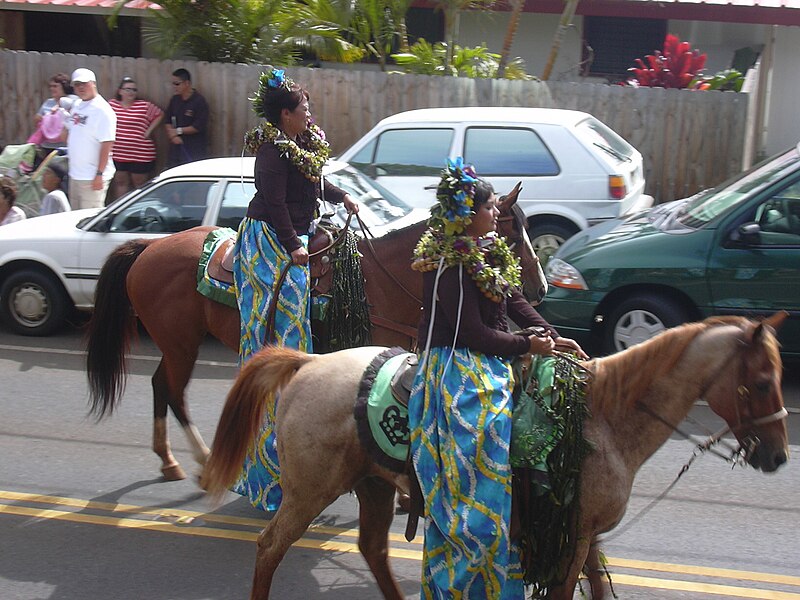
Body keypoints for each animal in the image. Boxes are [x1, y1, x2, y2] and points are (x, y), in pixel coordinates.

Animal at [86, 192, 544, 482]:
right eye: (510, 234)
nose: (538, 289)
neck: (379, 279)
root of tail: (147, 248)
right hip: (182, 344)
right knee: (174, 392)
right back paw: (202, 459)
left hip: (177, 344)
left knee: (159, 385)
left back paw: (170, 461)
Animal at [203, 312, 792, 596]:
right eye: (763, 383)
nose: (779, 457)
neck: (605, 417)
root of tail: (307, 363)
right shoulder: (570, 537)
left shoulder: (587, 535)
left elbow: (599, 589)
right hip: (309, 491)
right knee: (269, 548)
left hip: (370, 486)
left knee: (371, 550)